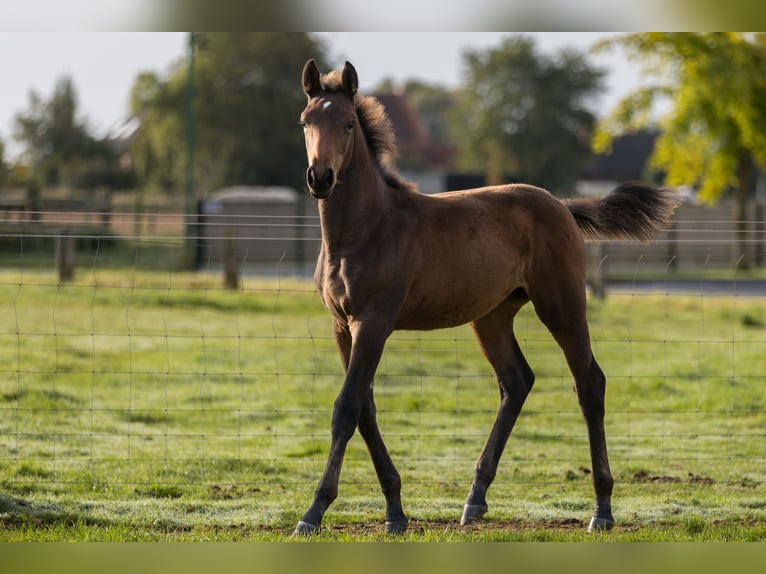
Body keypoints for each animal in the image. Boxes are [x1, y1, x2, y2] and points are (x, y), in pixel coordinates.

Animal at [296, 58, 684, 536]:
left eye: (349, 123)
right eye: (306, 121)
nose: (320, 178)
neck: (365, 230)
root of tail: (562, 204)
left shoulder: (374, 322)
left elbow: (347, 408)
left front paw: (314, 511)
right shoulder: (341, 325)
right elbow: (365, 407)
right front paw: (395, 511)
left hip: (561, 304)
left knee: (589, 382)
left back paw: (602, 509)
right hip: (492, 316)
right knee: (516, 381)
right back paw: (475, 498)